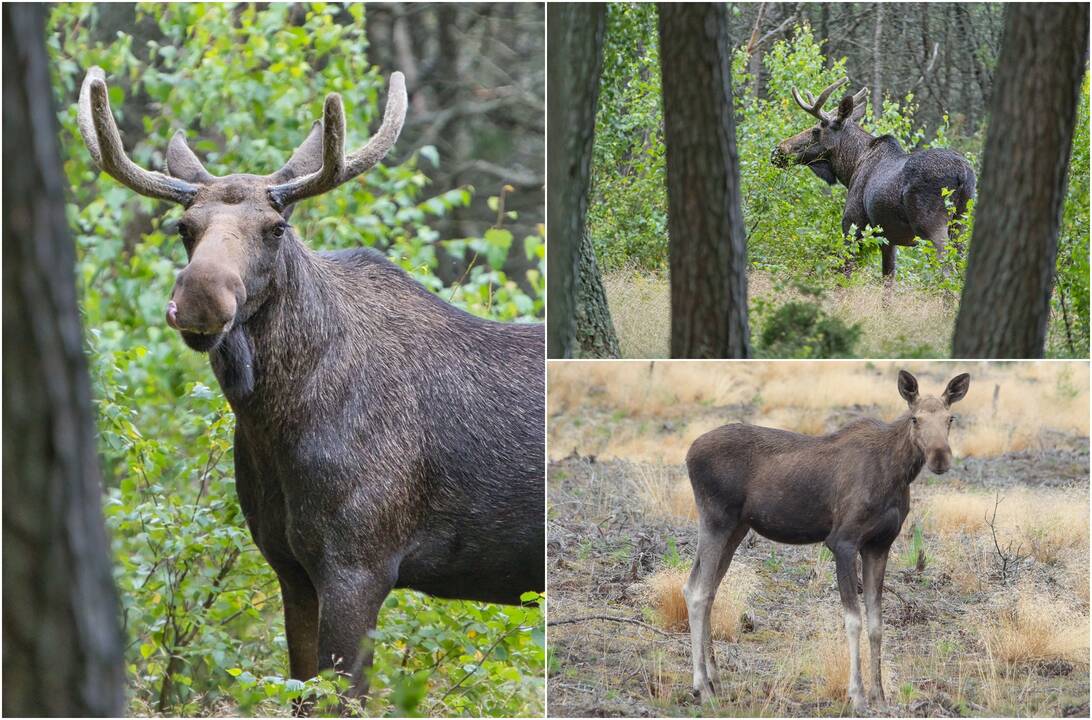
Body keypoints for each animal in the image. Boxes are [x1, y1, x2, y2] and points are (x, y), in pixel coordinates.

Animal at [74, 64, 543, 707]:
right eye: (183, 227)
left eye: (276, 227)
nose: (199, 298)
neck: (274, 426)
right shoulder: (289, 566)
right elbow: (298, 687)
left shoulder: (360, 564)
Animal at [681, 371, 974, 716]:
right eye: (915, 419)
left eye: (950, 418)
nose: (940, 458)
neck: (897, 475)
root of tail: (688, 452)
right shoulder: (842, 541)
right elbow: (854, 620)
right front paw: (857, 695)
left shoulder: (880, 544)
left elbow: (876, 623)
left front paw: (879, 696)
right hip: (716, 518)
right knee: (697, 591)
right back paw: (701, 687)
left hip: (737, 527)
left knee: (707, 589)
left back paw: (716, 681)